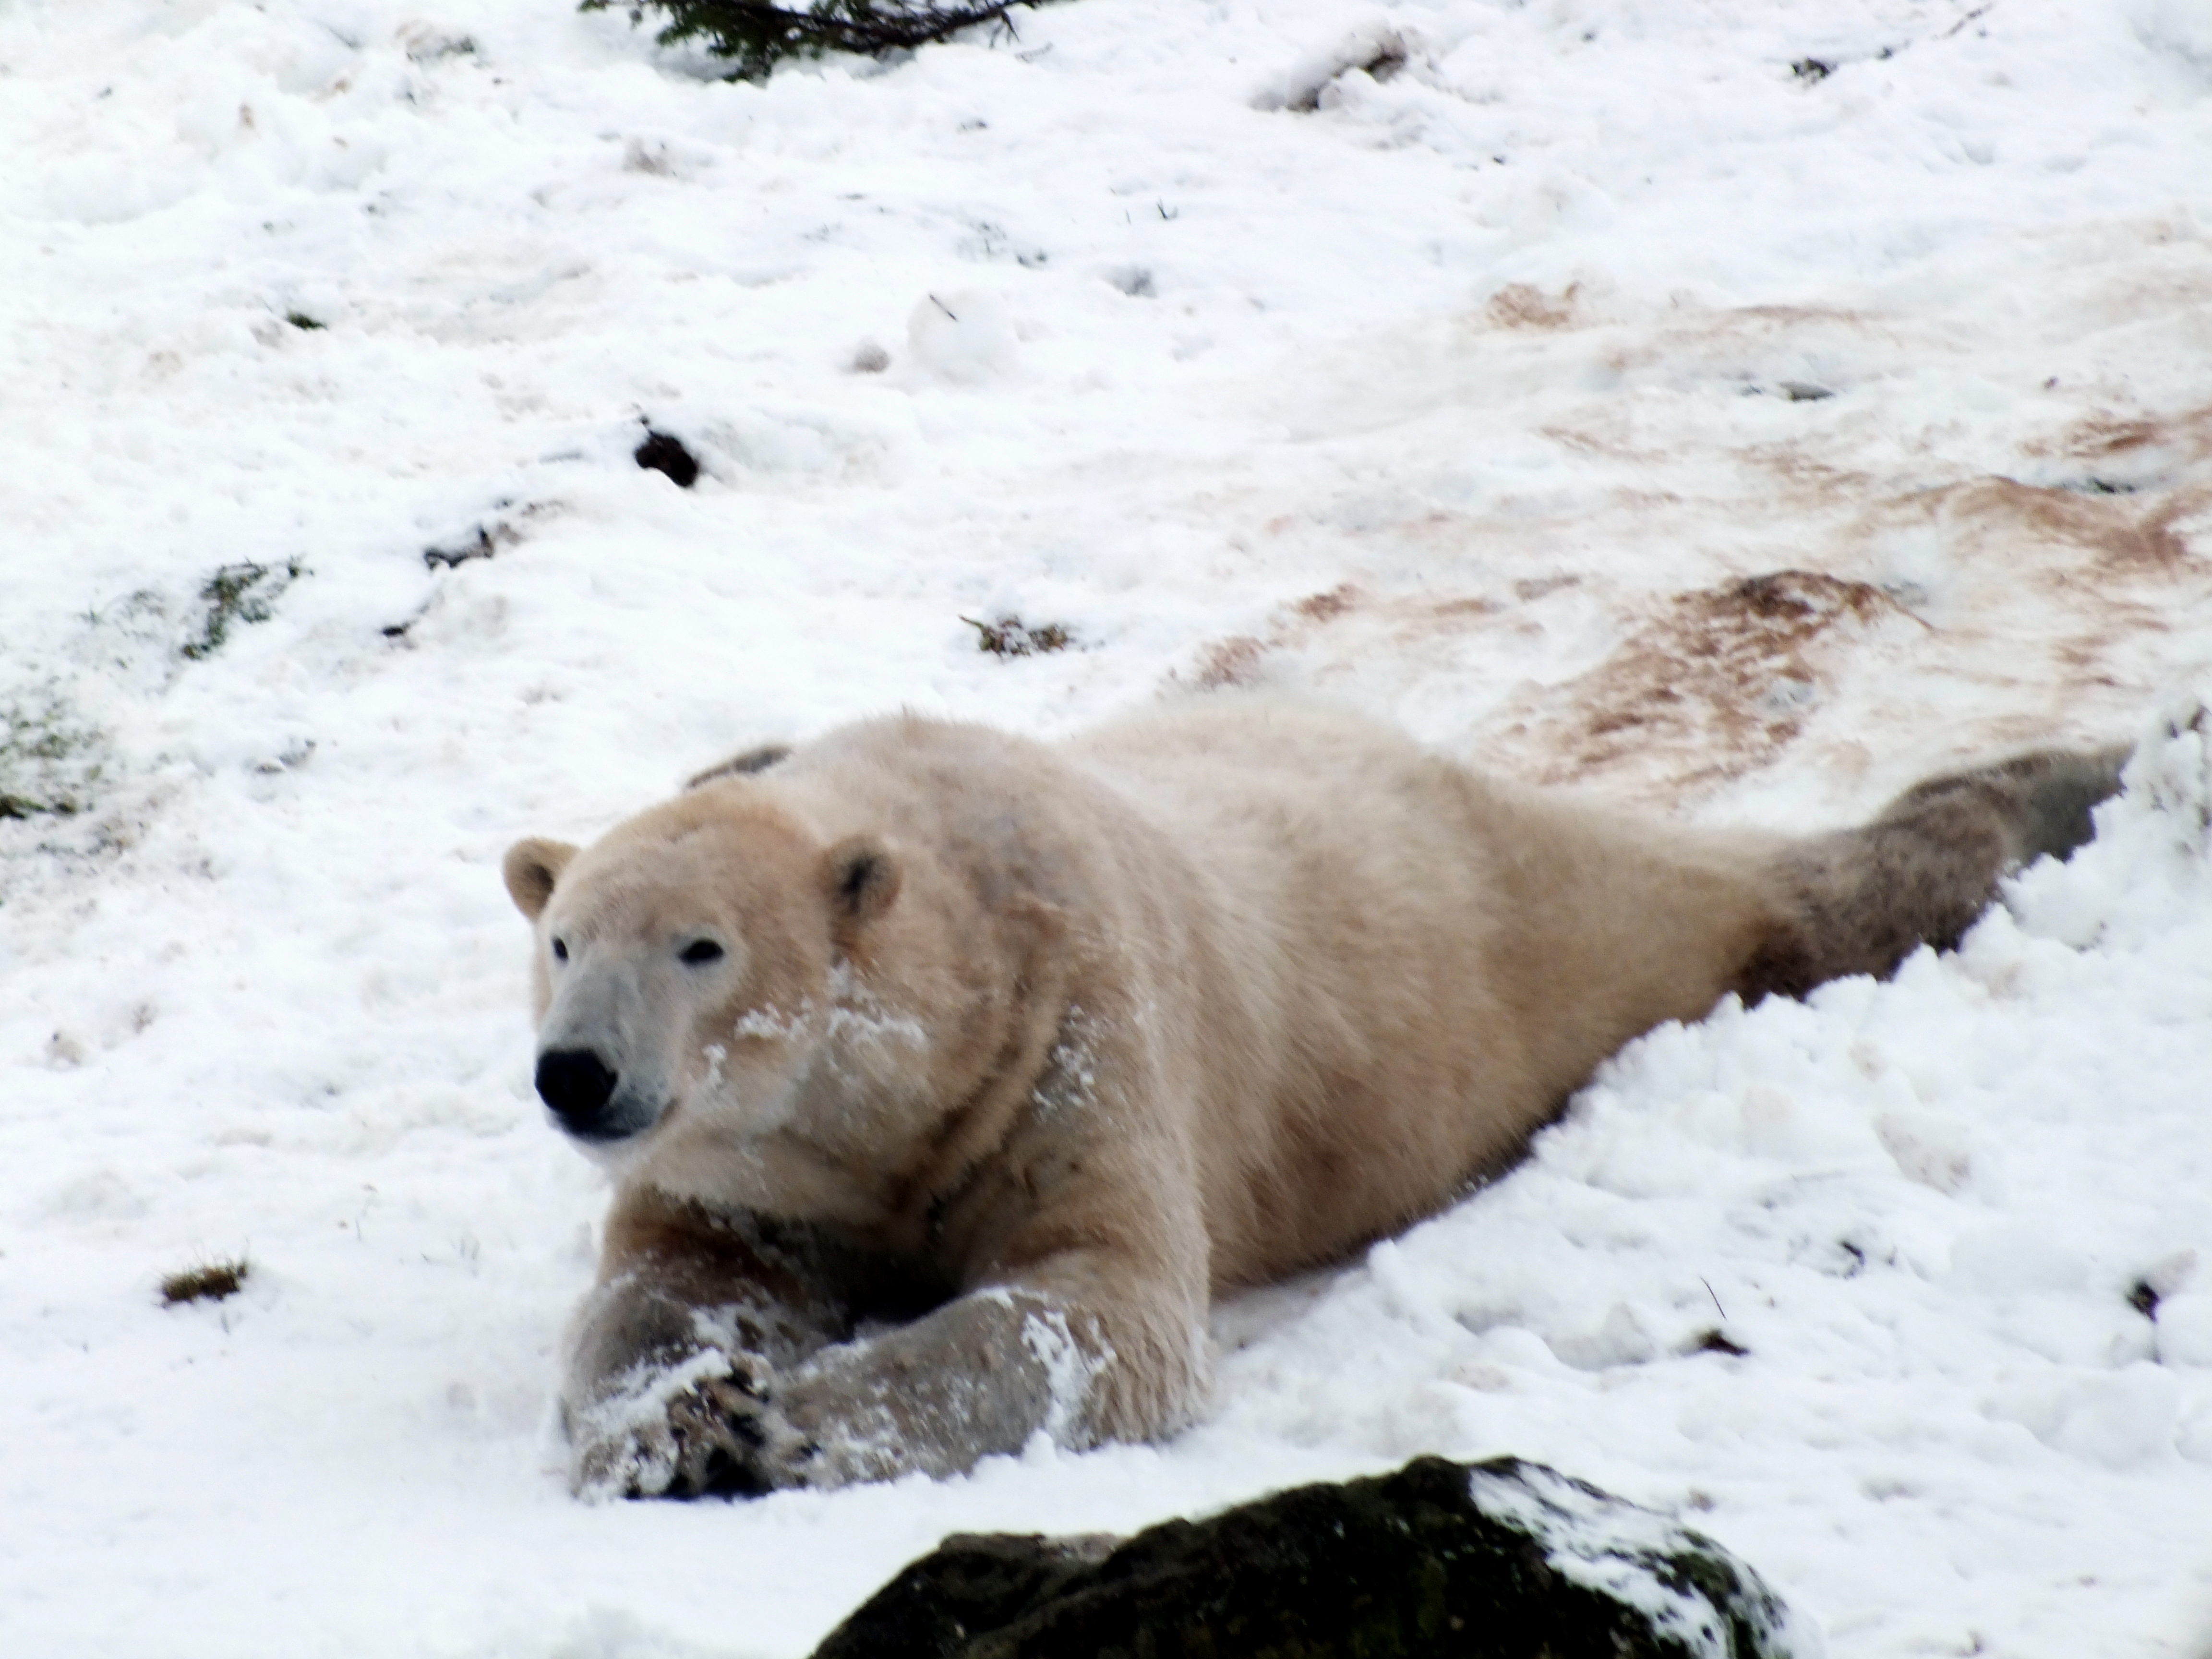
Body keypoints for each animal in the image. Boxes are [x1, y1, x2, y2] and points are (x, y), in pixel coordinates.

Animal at [500, 696, 2124, 1499]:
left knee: (1757, 901)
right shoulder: (758, 1171)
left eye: (701, 946)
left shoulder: (1067, 1042)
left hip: (1525, 920)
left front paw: (784, 1428)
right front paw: (681, 1420)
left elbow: (1096, 1308)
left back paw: (2060, 783)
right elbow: (665, 1287)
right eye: (563, 937)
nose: (578, 1073)